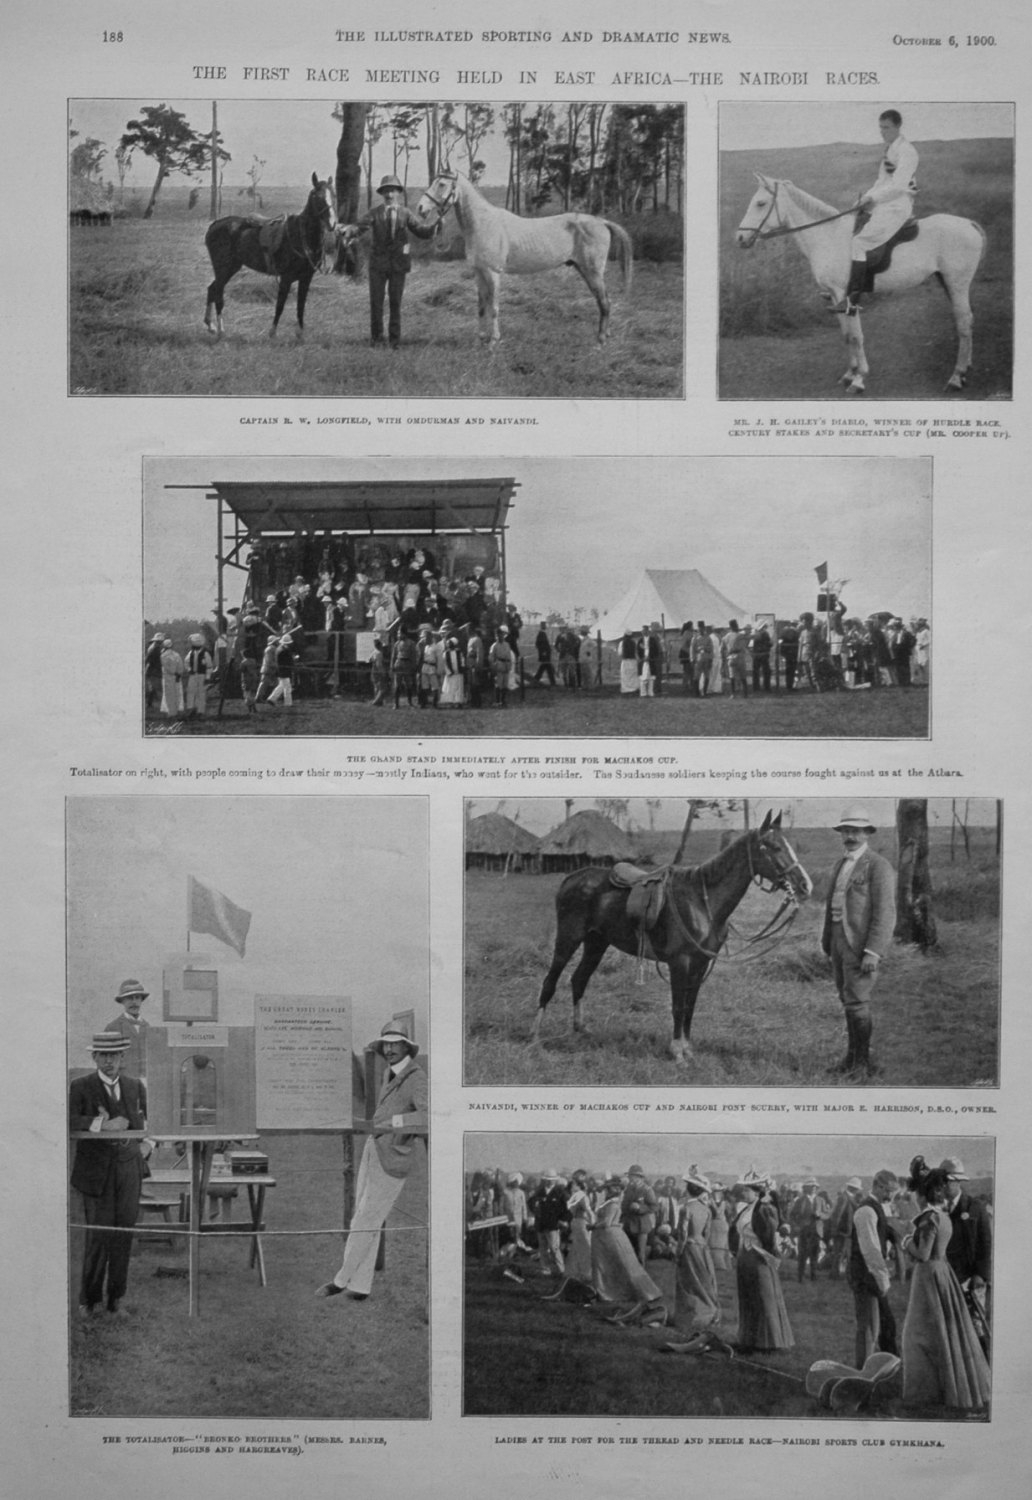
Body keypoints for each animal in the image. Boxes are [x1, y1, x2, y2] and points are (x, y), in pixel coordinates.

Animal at [205, 172, 339, 340]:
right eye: (317, 196)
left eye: (333, 195)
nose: (332, 224)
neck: (299, 235)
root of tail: (214, 225)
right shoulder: (286, 278)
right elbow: (280, 304)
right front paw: (273, 333)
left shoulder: (306, 278)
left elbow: (301, 305)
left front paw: (300, 334)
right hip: (223, 268)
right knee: (218, 294)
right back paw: (221, 330)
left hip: (231, 268)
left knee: (211, 289)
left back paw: (211, 326)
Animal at [414, 170, 633, 345]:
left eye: (442, 184)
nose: (421, 208)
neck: (483, 223)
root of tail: (602, 221)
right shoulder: (479, 273)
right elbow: (481, 307)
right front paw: (481, 338)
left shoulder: (493, 273)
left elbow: (494, 307)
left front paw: (494, 341)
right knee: (603, 302)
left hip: (593, 272)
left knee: (605, 302)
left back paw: (601, 340)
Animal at [531, 810, 816, 1068]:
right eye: (774, 847)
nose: (805, 886)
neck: (702, 903)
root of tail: (572, 877)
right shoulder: (680, 962)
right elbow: (678, 1006)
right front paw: (677, 1053)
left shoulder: (700, 963)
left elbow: (690, 1006)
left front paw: (687, 1050)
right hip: (568, 940)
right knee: (550, 982)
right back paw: (535, 1037)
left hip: (596, 944)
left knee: (579, 979)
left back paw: (580, 1029)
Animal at [735, 173, 984, 396]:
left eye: (760, 203)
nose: (739, 238)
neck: (828, 237)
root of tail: (970, 224)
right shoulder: (835, 298)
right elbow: (847, 335)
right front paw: (849, 373)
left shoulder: (846, 296)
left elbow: (856, 336)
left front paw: (859, 379)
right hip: (947, 282)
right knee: (968, 320)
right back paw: (966, 368)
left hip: (957, 283)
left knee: (963, 323)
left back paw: (956, 377)